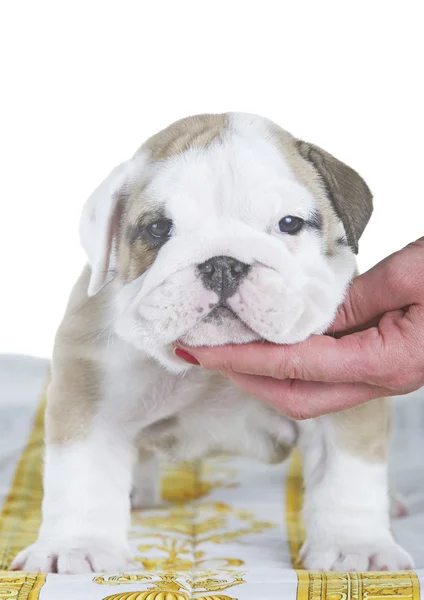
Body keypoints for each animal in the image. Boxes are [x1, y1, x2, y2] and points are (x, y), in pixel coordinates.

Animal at [11, 111, 412, 572]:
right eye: (158, 228)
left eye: (289, 224)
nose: (223, 264)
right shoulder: (91, 392)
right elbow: (82, 472)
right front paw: (77, 547)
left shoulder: (343, 405)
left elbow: (347, 473)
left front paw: (355, 547)